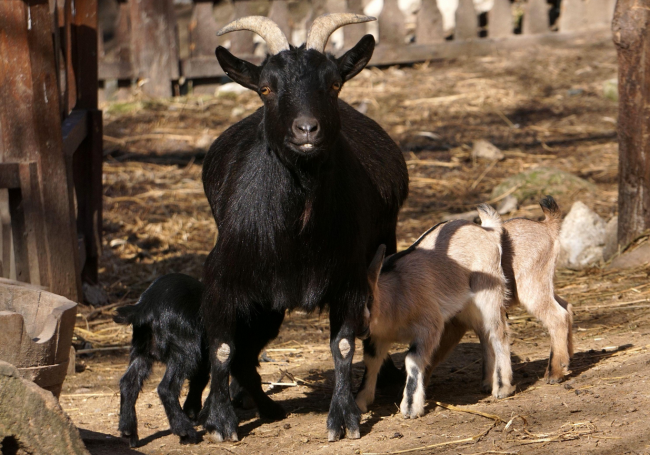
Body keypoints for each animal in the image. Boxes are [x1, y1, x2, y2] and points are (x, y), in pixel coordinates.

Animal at [112, 274, 209, 448]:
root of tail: (147, 304)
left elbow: (201, 378)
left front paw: (192, 412)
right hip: (185, 350)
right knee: (166, 388)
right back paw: (185, 432)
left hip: (141, 350)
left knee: (128, 382)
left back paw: (129, 432)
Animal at [200, 13, 408, 446]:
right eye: (265, 88)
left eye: (334, 83)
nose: (307, 130)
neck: (297, 232)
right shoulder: (224, 279)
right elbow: (223, 348)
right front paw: (220, 421)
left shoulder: (350, 278)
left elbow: (343, 345)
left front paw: (344, 419)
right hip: (264, 303)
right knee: (244, 353)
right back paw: (258, 405)